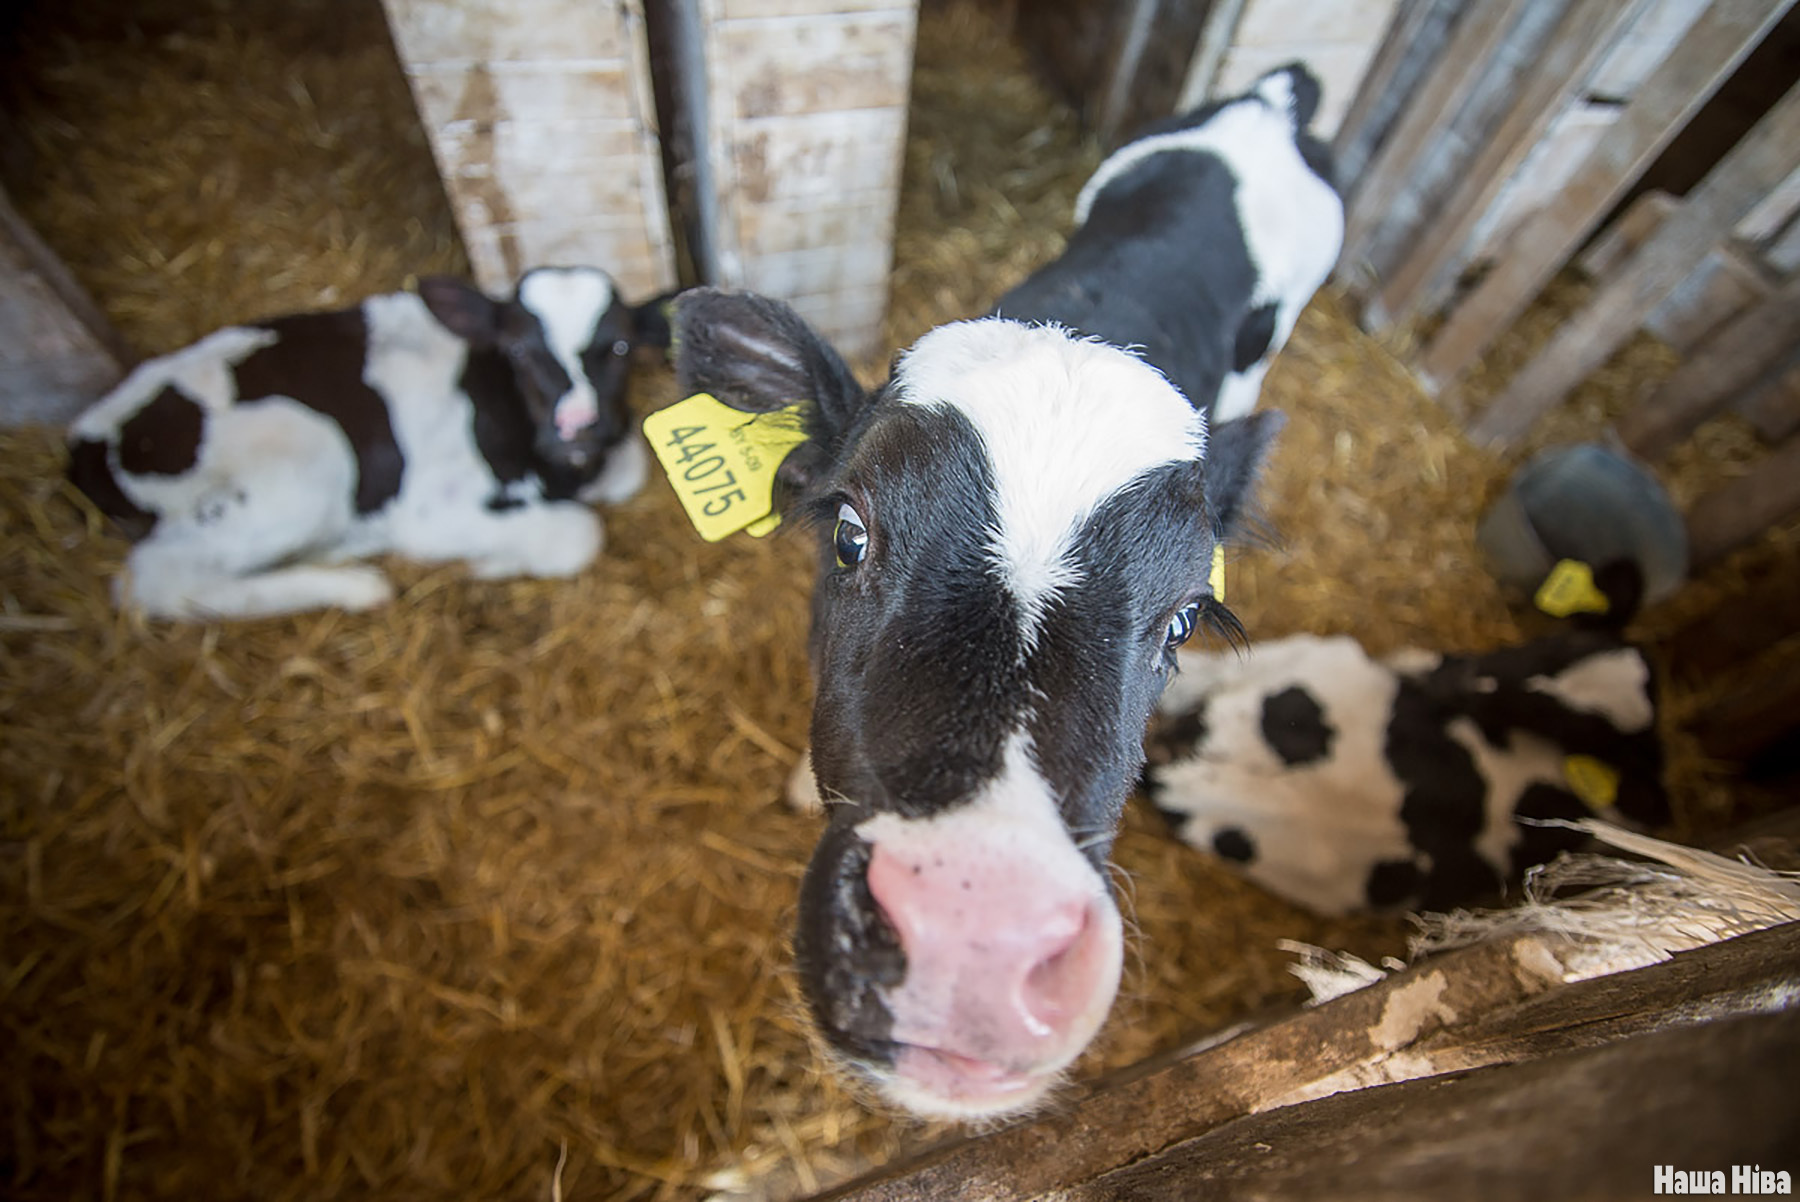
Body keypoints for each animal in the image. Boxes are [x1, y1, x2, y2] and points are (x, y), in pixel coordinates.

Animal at [68, 264, 669, 618]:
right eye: (518, 350)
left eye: (620, 347)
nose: (577, 426)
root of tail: (87, 440)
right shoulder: (428, 512)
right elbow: (578, 533)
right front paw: (489, 563)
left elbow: (627, 471)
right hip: (302, 458)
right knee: (154, 581)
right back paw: (355, 586)